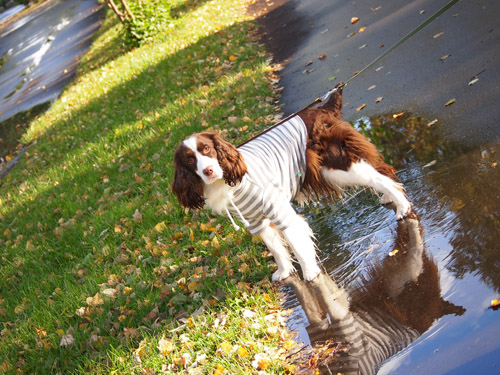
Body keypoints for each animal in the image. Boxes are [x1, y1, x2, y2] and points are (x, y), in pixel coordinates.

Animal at [172, 86, 410, 282]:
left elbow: (296, 243)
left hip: (337, 166)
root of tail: (321, 109)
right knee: (382, 171)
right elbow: (275, 248)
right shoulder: (255, 220)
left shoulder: (278, 209)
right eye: (190, 160)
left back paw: (402, 206)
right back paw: (390, 198)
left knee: (378, 177)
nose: (208, 171)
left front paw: (310, 272)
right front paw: (284, 272)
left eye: (206, 149)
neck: (228, 183)